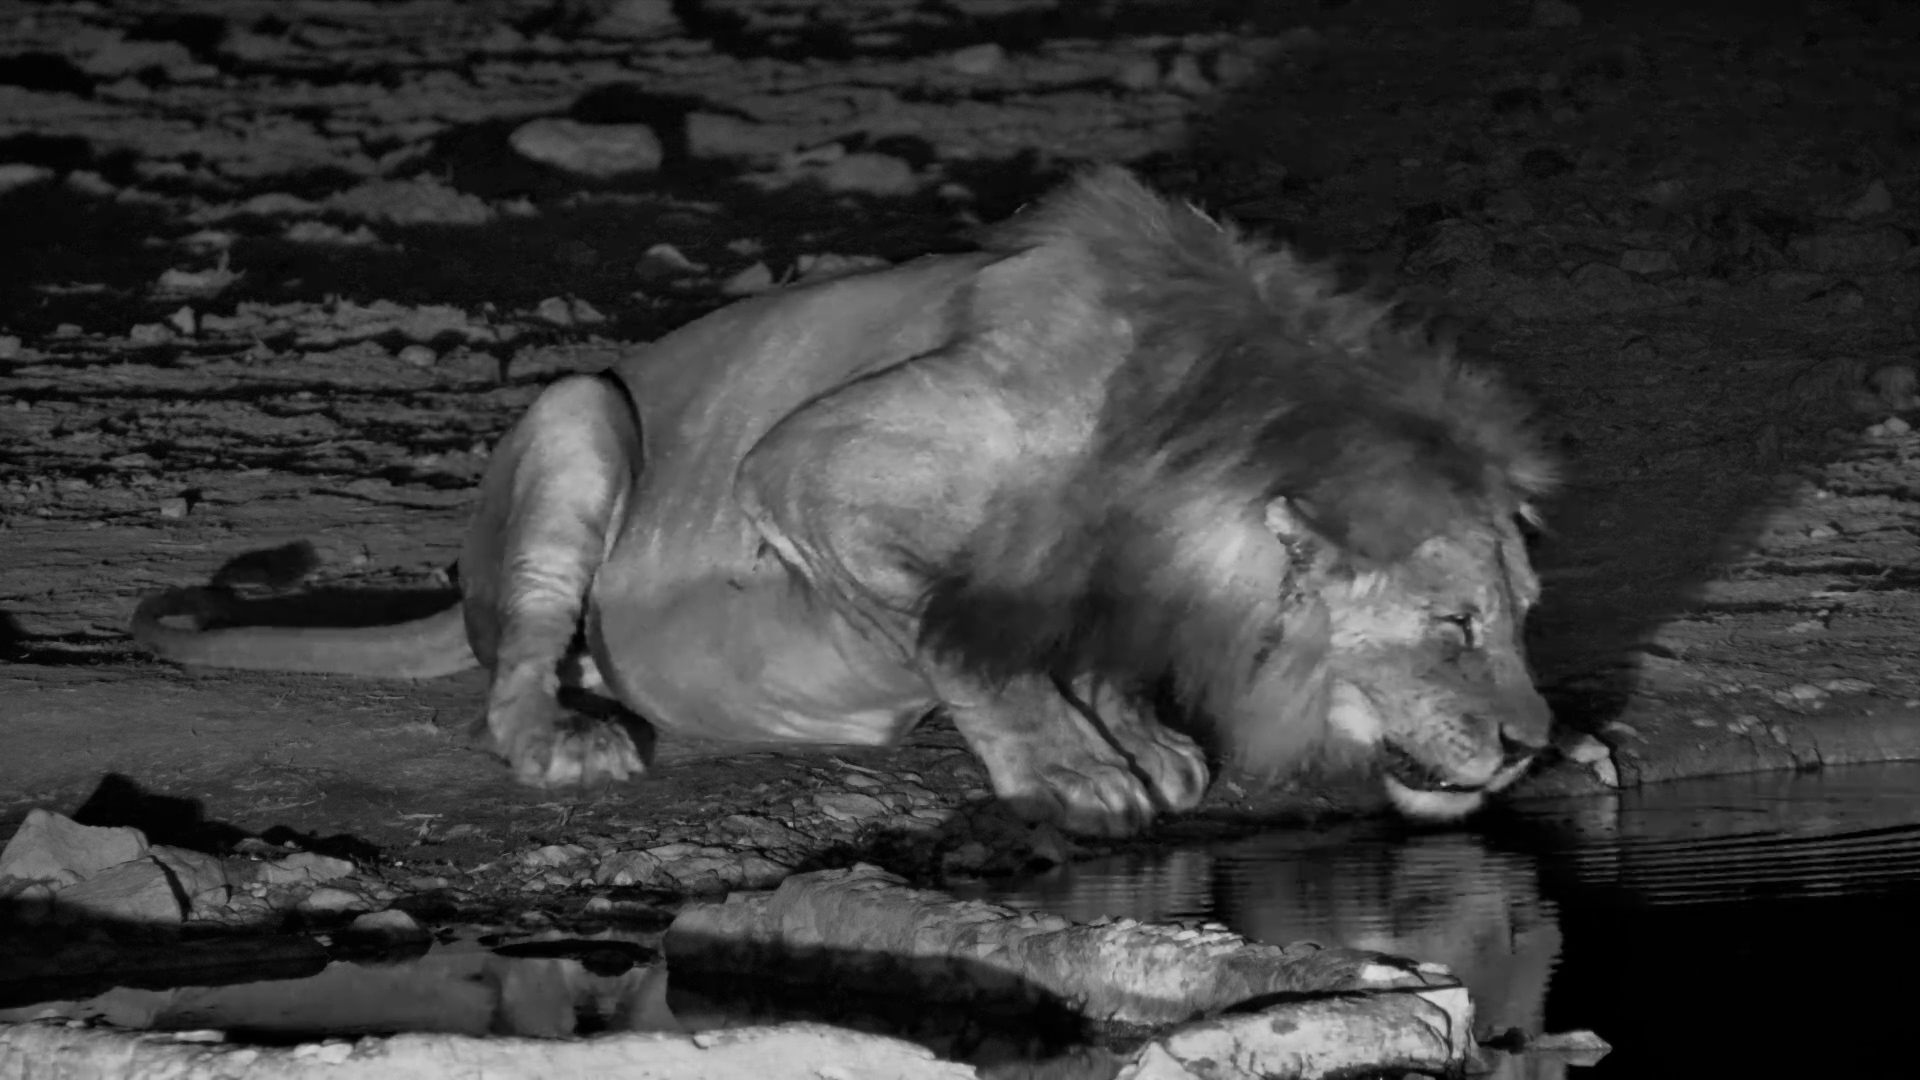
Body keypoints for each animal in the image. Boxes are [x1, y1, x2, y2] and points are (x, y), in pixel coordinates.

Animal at [132, 167, 1556, 838]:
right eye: (1456, 624)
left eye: (1522, 613)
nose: (1533, 745)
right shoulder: (806, 462)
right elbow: (954, 630)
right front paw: (1066, 764)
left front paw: (1139, 738)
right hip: (582, 413)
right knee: (516, 660)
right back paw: (565, 737)